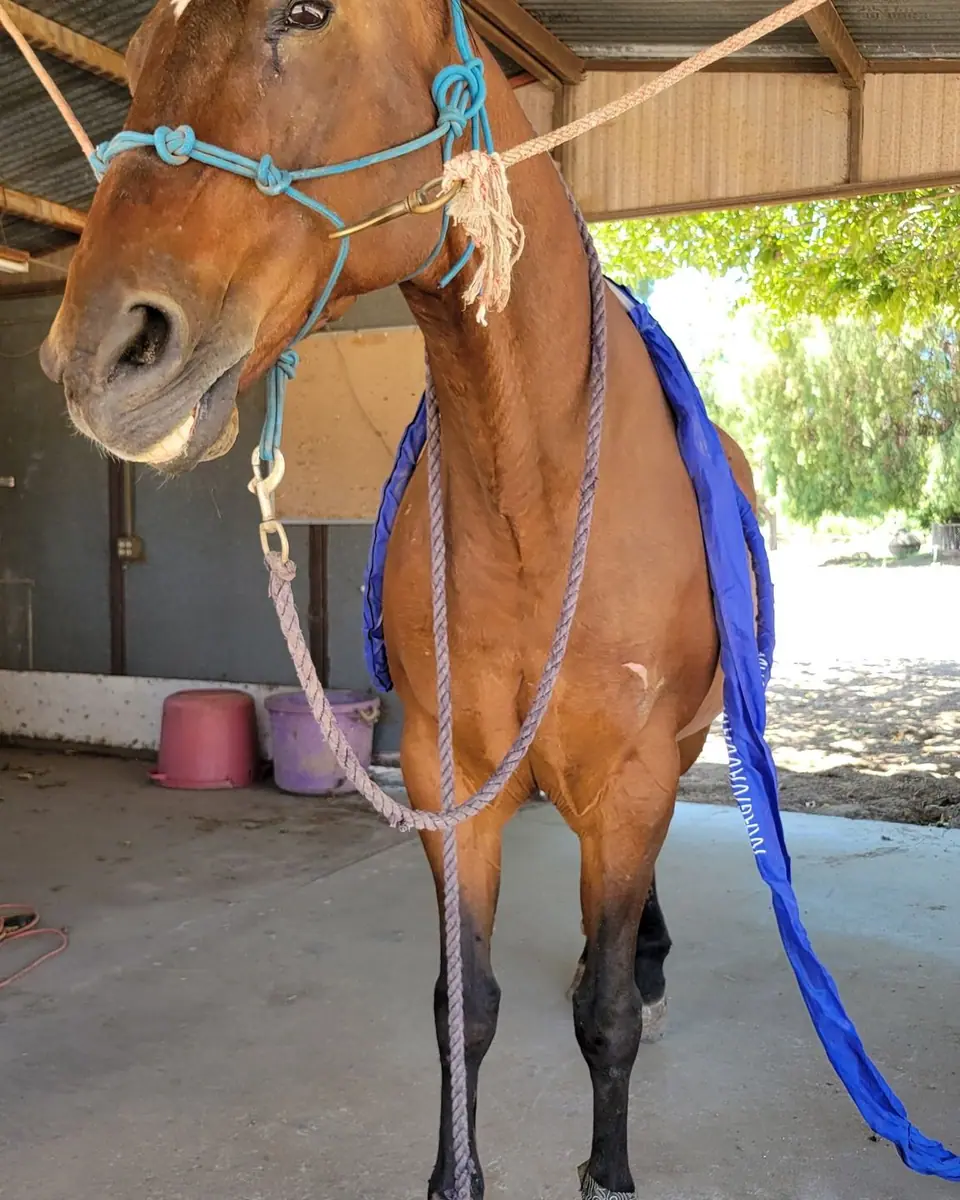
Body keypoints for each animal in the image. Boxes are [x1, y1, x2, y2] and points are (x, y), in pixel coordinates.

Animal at [39, 1, 757, 1195]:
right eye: (135, 52)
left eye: (308, 12)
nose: (100, 356)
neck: (535, 494)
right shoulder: (446, 773)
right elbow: (462, 1008)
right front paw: (452, 1174)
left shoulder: (634, 774)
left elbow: (604, 1019)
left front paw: (607, 1164)